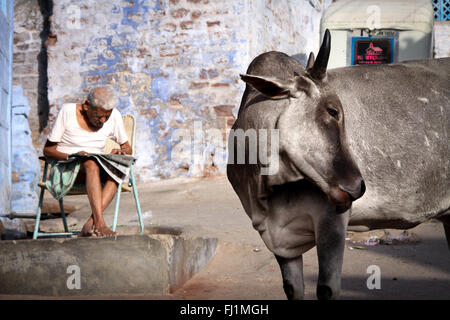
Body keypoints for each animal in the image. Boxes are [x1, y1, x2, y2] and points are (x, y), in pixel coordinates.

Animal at [229, 30, 450, 300]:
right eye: (333, 111)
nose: (359, 187)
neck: (265, 187)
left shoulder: (332, 222)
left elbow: (326, 289)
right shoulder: (277, 239)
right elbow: (292, 288)